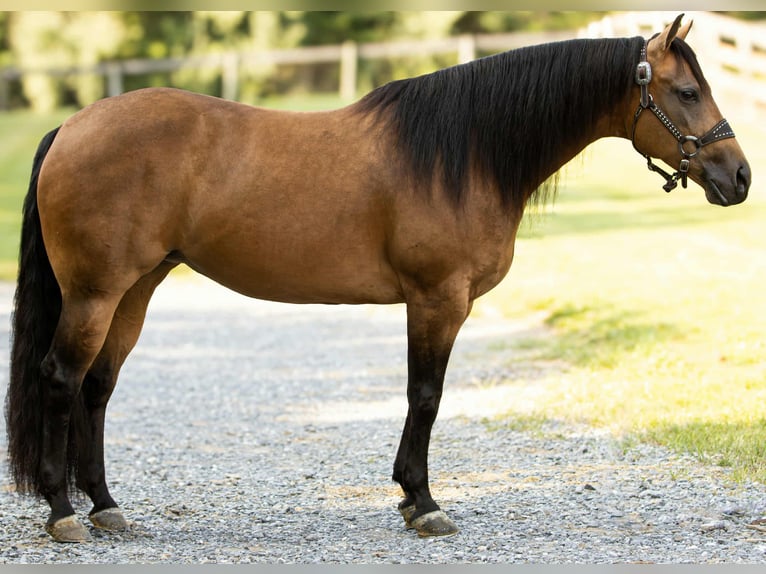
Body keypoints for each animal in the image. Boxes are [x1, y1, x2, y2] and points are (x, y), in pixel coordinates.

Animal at [4, 15, 751, 543]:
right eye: (688, 91)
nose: (740, 177)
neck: (463, 154)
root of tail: (71, 126)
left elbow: (424, 397)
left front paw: (411, 498)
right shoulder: (437, 299)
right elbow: (426, 396)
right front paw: (422, 502)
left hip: (134, 289)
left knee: (97, 388)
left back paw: (106, 507)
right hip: (95, 294)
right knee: (61, 380)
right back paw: (63, 512)